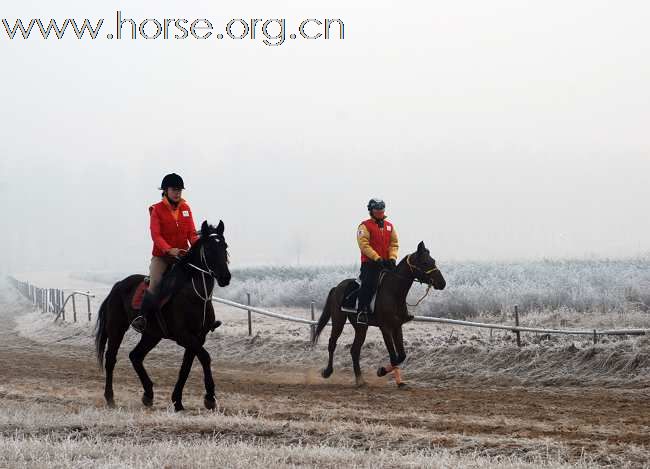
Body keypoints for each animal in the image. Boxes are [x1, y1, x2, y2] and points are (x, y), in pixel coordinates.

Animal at [93, 219, 230, 410]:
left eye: (225, 246)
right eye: (209, 248)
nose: (226, 277)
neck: (194, 295)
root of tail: (118, 285)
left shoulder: (198, 337)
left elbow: (186, 367)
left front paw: (177, 401)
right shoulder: (184, 336)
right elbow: (205, 357)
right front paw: (210, 397)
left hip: (152, 335)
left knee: (135, 356)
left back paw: (148, 395)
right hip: (117, 329)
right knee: (111, 359)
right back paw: (110, 398)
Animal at [312, 241, 442, 388]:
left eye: (433, 261)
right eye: (425, 263)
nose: (442, 283)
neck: (393, 292)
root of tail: (337, 288)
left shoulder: (397, 326)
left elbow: (401, 356)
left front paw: (394, 378)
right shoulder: (385, 328)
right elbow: (394, 356)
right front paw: (384, 372)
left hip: (361, 327)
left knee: (355, 350)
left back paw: (360, 380)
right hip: (338, 321)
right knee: (332, 343)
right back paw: (327, 372)